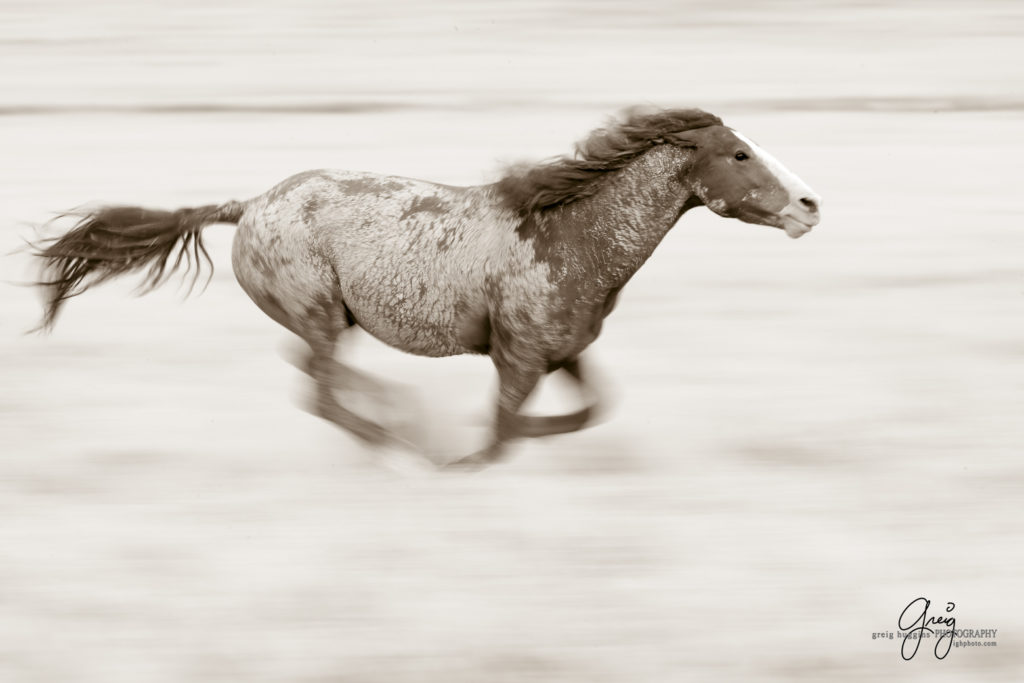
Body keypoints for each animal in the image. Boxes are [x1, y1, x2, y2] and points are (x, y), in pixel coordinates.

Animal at [29, 108, 823, 471]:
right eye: (740, 154)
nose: (811, 204)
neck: (569, 237)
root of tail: (249, 204)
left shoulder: (561, 351)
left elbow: (590, 411)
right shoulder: (518, 359)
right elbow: (504, 431)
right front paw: (462, 456)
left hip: (327, 322)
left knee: (313, 376)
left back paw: (399, 417)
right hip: (319, 314)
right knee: (319, 391)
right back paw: (400, 442)